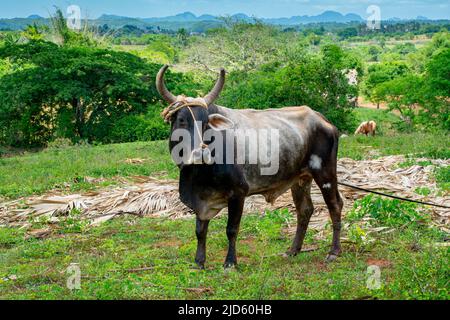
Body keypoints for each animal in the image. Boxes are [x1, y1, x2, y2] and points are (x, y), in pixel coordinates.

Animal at [156, 64, 342, 268]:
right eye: (182, 120)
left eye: (206, 124)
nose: (201, 153)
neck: (197, 175)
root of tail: (321, 119)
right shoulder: (201, 200)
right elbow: (200, 230)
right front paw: (199, 262)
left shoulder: (238, 193)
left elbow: (231, 229)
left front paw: (230, 263)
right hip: (301, 179)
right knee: (305, 210)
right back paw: (293, 250)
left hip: (325, 173)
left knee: (335, 205)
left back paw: (334, 252)